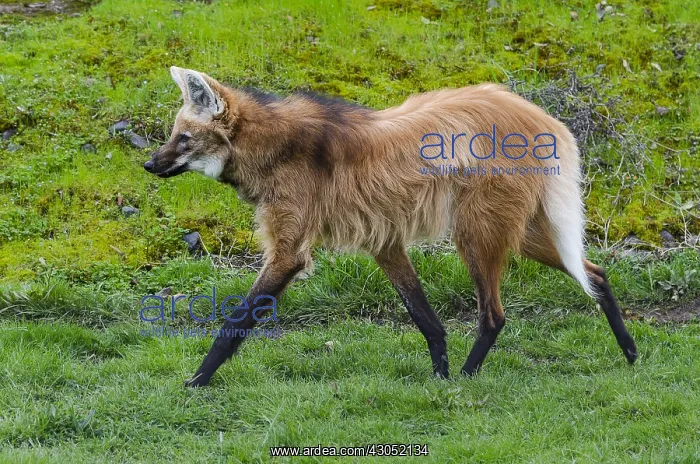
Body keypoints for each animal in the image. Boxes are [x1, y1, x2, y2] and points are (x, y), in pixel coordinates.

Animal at [144, 66, 638, 387]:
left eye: (183, 139)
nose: (149, 163)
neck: (275, 149)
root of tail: (546, 118)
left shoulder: (289, 252)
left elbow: (236, 321)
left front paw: (197, 380)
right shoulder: (383, 241)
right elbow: (425, 317)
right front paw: (438, 373)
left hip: (476, 232)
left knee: (494, 314)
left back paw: (468, 377)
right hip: (520, 230)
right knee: (595, 273)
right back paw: (630, 352)